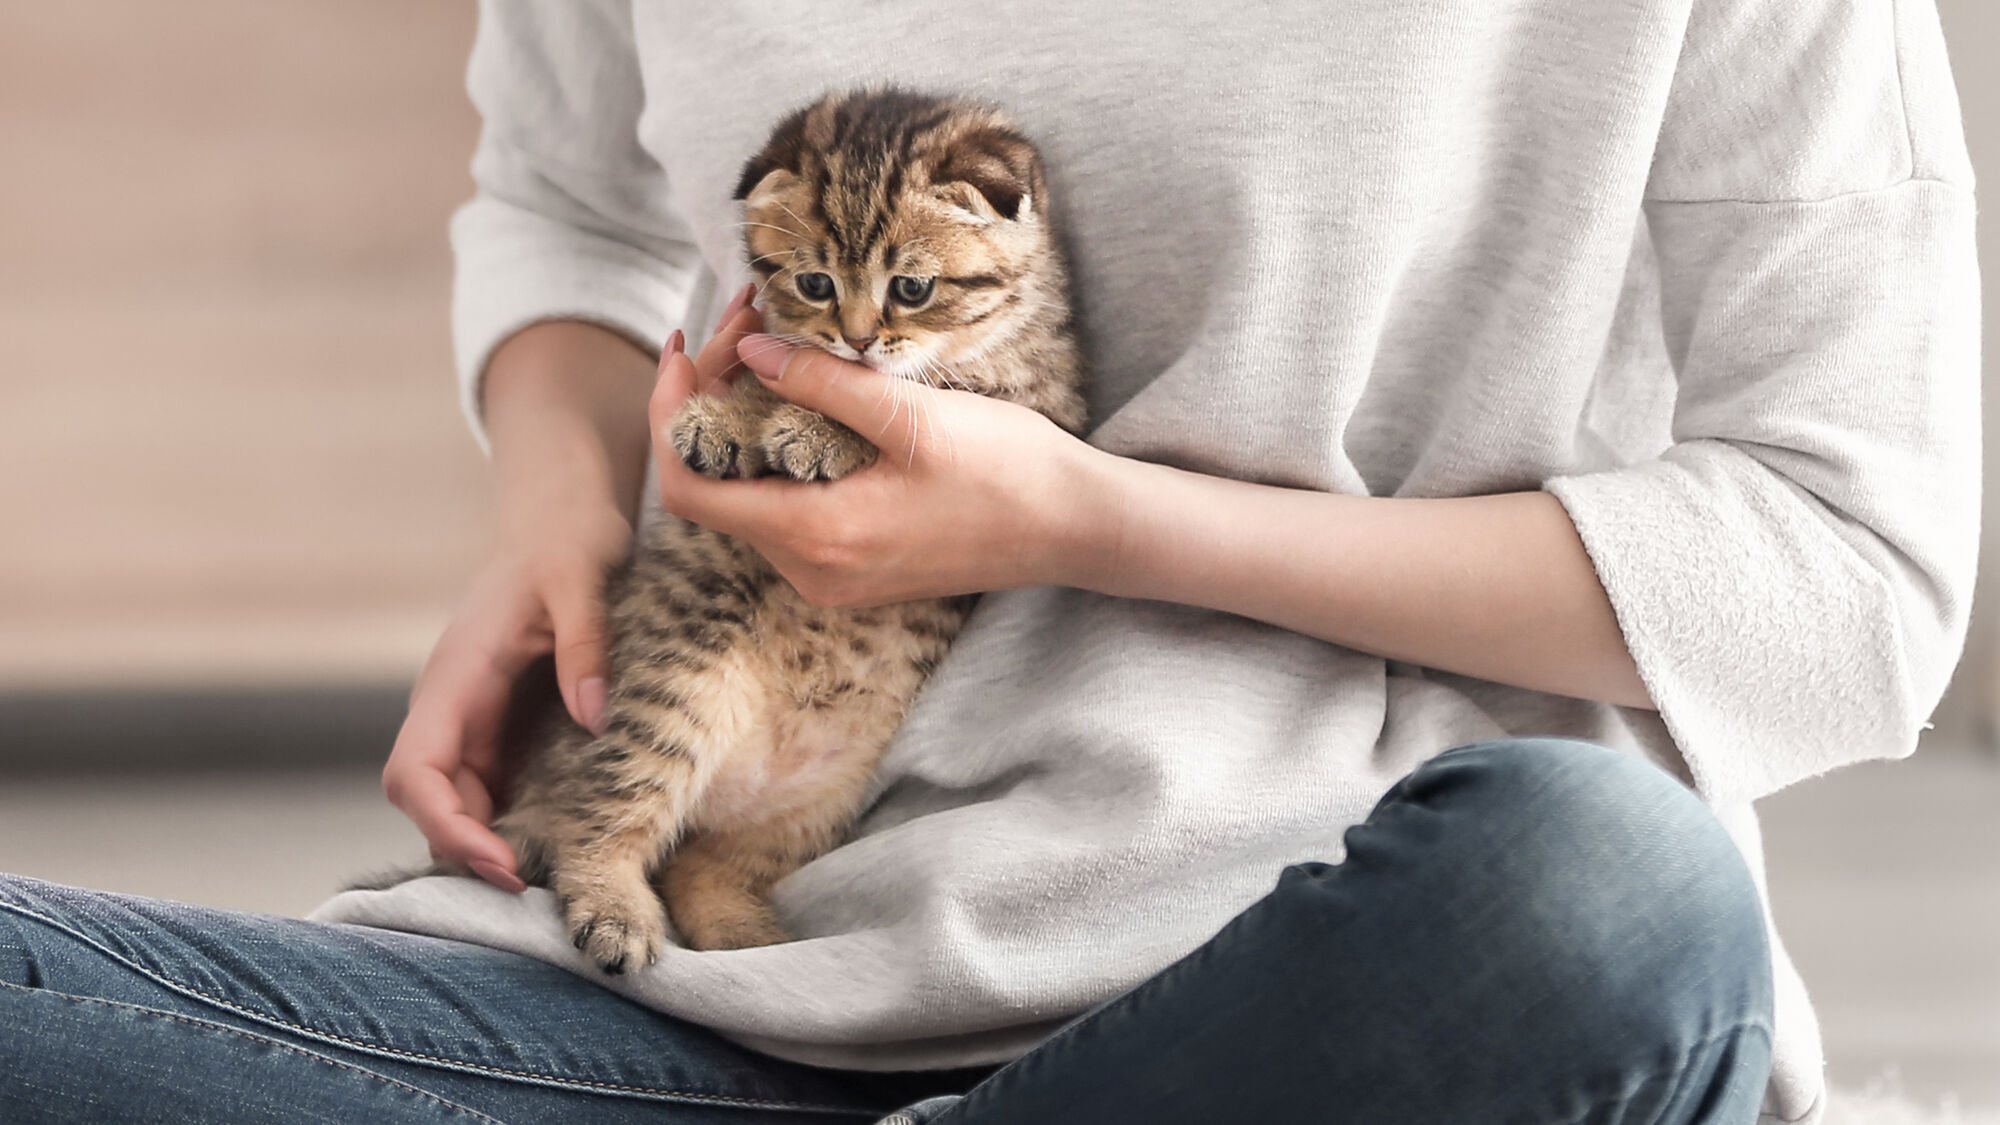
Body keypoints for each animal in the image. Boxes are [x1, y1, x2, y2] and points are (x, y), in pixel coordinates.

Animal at [490, 87, 1088, 968]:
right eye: (815, 282)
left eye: (913, 287)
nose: (860, 338)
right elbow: (782, 369)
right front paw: (731, 417)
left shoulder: (1044, 410)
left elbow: (915, 400)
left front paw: (820, 427)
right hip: (676, 687)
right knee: (603, 819)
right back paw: (616, 904)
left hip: (822, 795)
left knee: (699, 862)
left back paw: (737, 929)